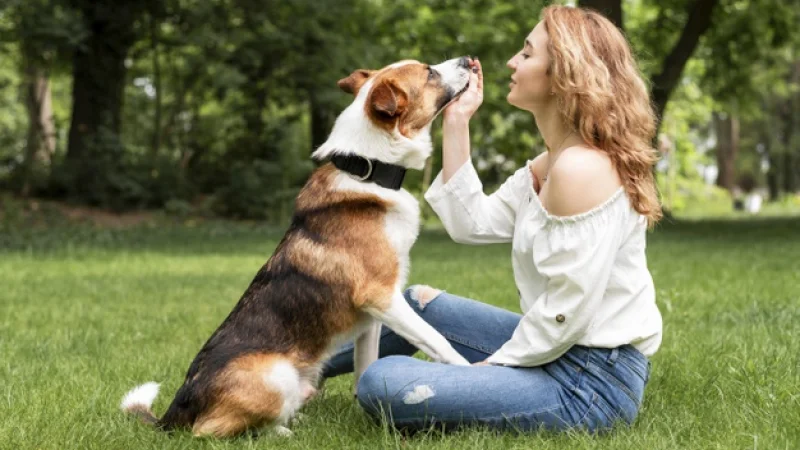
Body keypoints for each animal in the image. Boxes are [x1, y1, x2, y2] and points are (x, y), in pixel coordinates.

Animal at [120, 57, 476, 440]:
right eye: (429, 72)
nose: (467, 60)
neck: (368, 171)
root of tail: (177, 410)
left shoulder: (373, 316)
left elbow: (366, 368)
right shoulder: (382, 297)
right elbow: (438, 341)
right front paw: (474, 370)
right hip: (276, 376)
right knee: (208, 430)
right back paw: (282, 433)